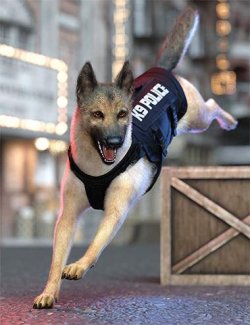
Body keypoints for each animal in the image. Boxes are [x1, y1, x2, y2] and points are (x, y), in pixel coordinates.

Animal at [33, 6, 236, 306]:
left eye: (123, 114)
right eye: (97, 115)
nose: (115, 142)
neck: (97, 169)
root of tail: (160, 68)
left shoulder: (116, 212)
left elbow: (96, 242)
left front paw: (80, 265)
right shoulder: (68, 217)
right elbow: (56, 259)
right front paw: (49, 291)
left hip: (196, 118)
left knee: (211, 105)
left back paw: (230, 120)